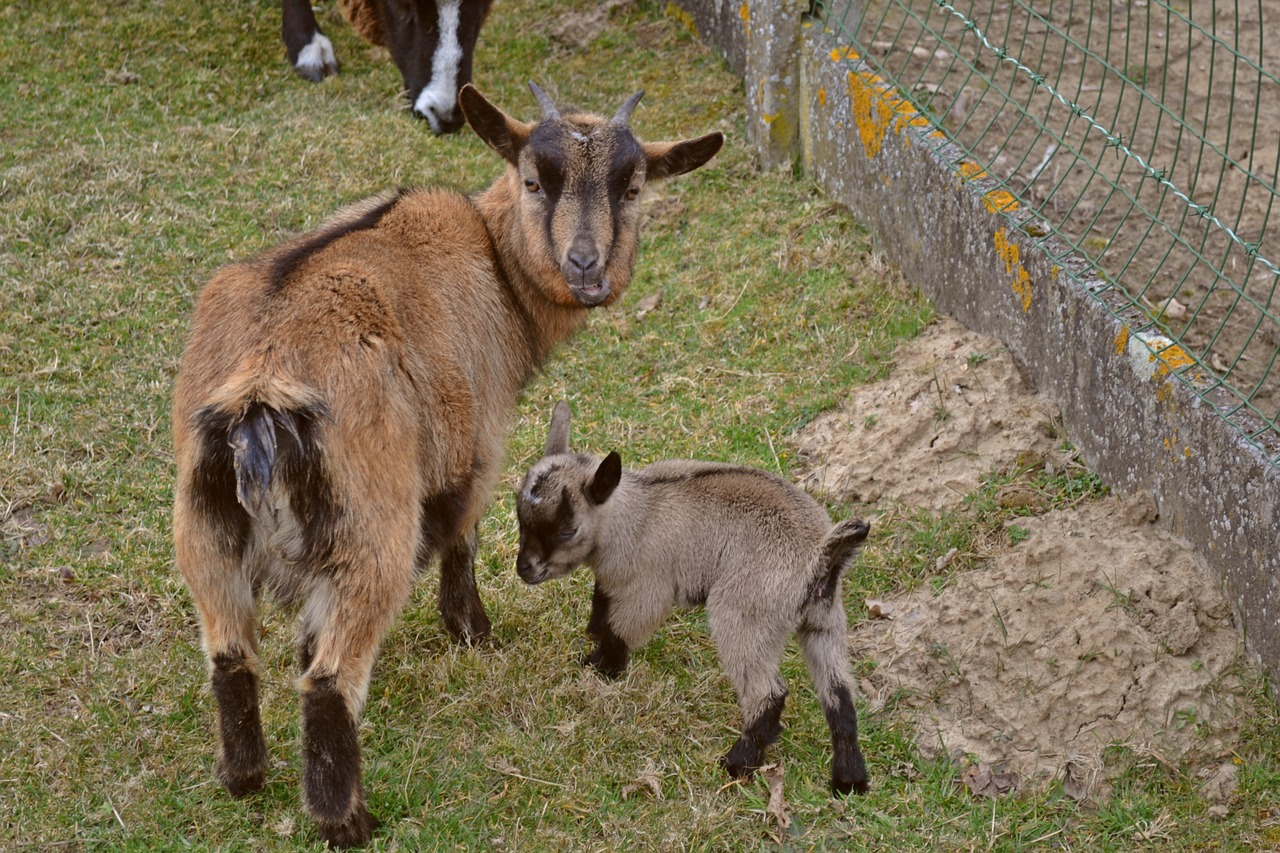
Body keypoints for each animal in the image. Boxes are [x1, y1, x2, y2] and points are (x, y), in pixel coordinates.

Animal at [172, 79, 721, 845]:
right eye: (534, 179)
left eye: (634, 186)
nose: (587, 270)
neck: (490, 256)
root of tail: (259, 391)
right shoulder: (478, 441)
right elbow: (465, 535)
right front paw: (474, 634)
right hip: (372, 526)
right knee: (331, 680)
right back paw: (348, 820)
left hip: (204, 527)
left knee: (229, 656)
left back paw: (244, 777)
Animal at [514, 402, 875, 794]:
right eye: (521, 519)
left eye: (567, 531)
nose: (525, 570)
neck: (635, 516)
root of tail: (820, 555)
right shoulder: (615, 578)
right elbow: (602, 602)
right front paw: (592, 642)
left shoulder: (649, 587)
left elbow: (621, 630)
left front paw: (601, 668)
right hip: (824, 621)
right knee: (839, 695)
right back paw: (849, 779)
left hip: (744, 612)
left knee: (768, 692)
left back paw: (738, 763)